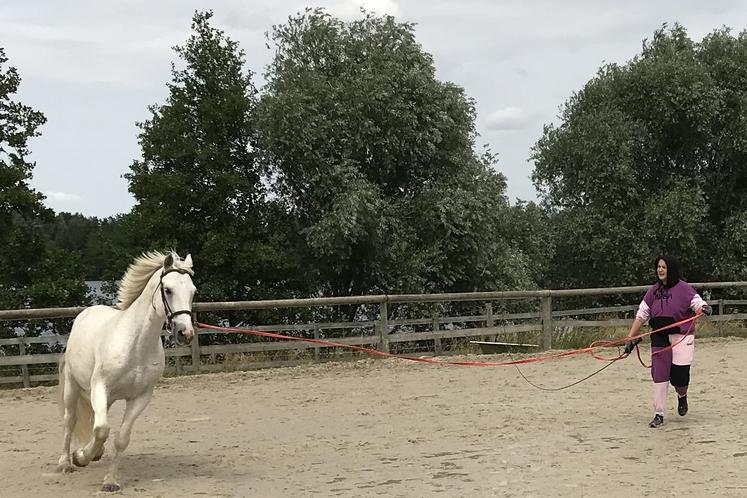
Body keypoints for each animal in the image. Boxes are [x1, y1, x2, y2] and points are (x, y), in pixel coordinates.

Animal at [56, 250, 196, 492]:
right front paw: (81, 457)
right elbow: (102, 429)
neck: (136, 345)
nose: (185, 333)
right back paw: (66, 463)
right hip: (74, 387)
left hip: (107, 397)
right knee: (70, 420)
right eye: (168, 290)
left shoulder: (141, 397)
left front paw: (110, 481)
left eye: (193, 291)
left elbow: (120, 438)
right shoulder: (100, 386)